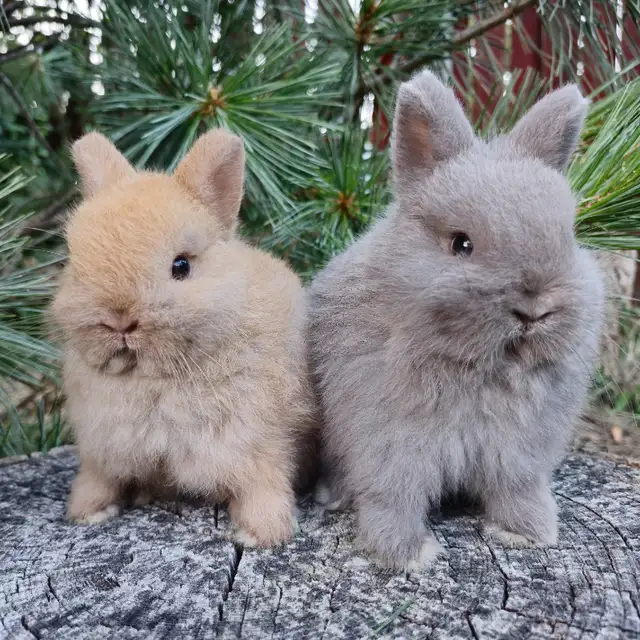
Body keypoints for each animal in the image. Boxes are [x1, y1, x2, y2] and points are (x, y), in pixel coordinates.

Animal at [51, 128, 318, 547]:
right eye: (76, 266)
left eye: (181, 266)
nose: (119, 320)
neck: (154, 378)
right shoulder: (101, 445)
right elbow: (98, 479)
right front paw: (88, 513)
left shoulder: (261, 440)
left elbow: (264, 483)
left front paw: (259, 535)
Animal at [308, 70, 605, 571]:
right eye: (461, 244)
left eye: (567, 237)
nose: (534, 310)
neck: (484, 369)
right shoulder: (390, 445)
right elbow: (393, 498)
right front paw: (408, 554)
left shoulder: (519, 453)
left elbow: (517, 490)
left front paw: (529, 533)